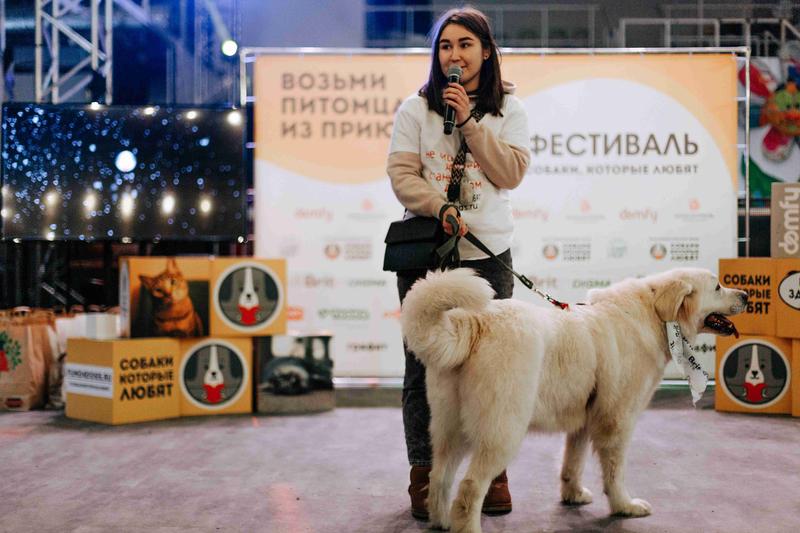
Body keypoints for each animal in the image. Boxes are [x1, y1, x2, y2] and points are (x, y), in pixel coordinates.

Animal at [404, 268, 748, 528]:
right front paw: (625, 506)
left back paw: (440, 521)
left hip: (448, 428)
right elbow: (615, 472)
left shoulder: (584, 419)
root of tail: (476, 322)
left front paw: (573, 495)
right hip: (502, 430)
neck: (653, 314)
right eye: (717, 286)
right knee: (469, 488)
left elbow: (573, 461)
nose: (745, 296)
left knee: (439, 477)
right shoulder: (617, 421)